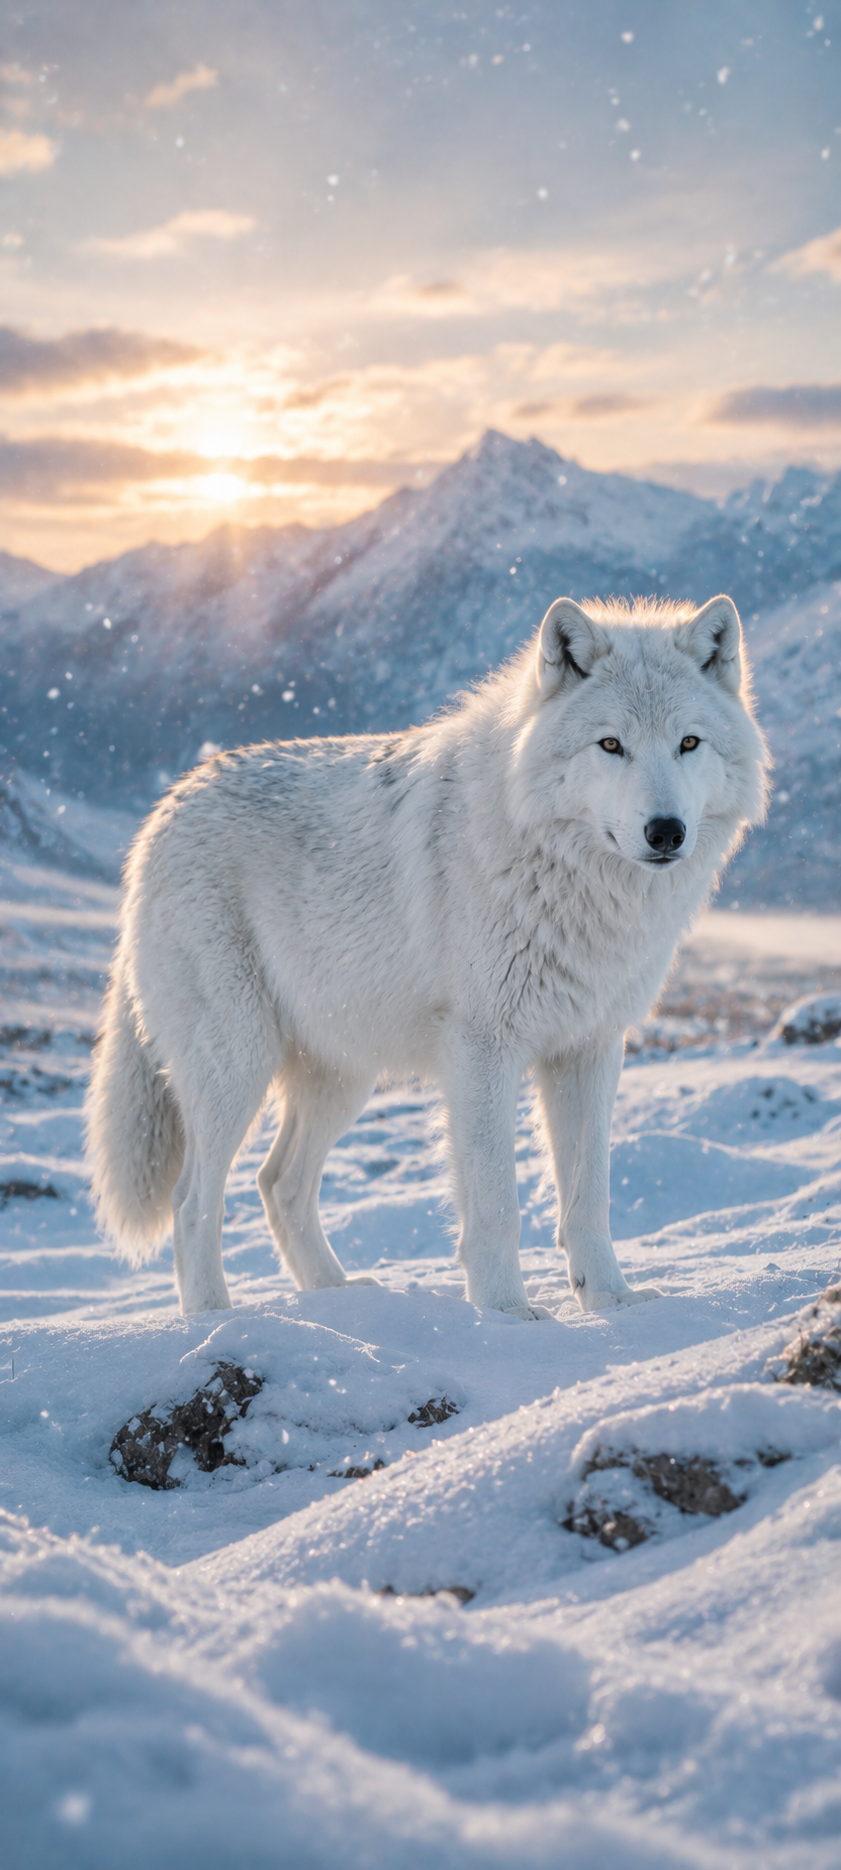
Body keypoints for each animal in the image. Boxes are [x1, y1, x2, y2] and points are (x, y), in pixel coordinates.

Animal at [86, 594, 768, 1318]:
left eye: (688, 743)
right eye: (611, 744)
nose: (665, 832)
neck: (573, 881)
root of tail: (164, 810)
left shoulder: (589, 1048)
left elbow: (588, 1200)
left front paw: (610, 1301)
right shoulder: (481, 1049)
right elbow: (496, 1204)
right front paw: (505, 1314)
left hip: (342, 1076)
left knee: (279, 1184)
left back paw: (339, 1299)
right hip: (238, 1068)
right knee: (194, 1202)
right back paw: (214, 1317)